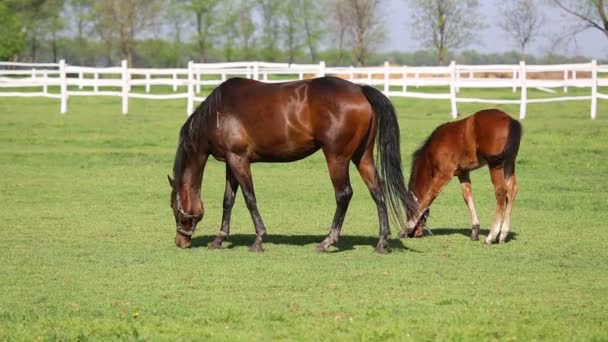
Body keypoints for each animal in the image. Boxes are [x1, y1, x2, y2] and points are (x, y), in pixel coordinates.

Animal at [167, 76, 418, 252]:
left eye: (174, 208)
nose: (180, 241)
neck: (218, 112)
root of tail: (359, 90)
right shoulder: (231, 162)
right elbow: (228, 201)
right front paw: (219, 239)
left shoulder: (240, 160)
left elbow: (249, 199)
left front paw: (259, 239)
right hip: (362, 156)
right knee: (377, 190)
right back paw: (382, 242)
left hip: (336, 158)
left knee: (344, 194)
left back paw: (328, 241)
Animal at [400, 108, 524, 244]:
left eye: (408, 210)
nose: (414, 234)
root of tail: (510, 120)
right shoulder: (463, 172)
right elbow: (467, 196)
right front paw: (475, 231)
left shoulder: (444, 174)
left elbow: (429, 196)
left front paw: (405, 229)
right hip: (509, 163)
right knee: (512, 190)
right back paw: (503, 235)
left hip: (495, 165)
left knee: (501, 191)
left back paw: (491, 236)